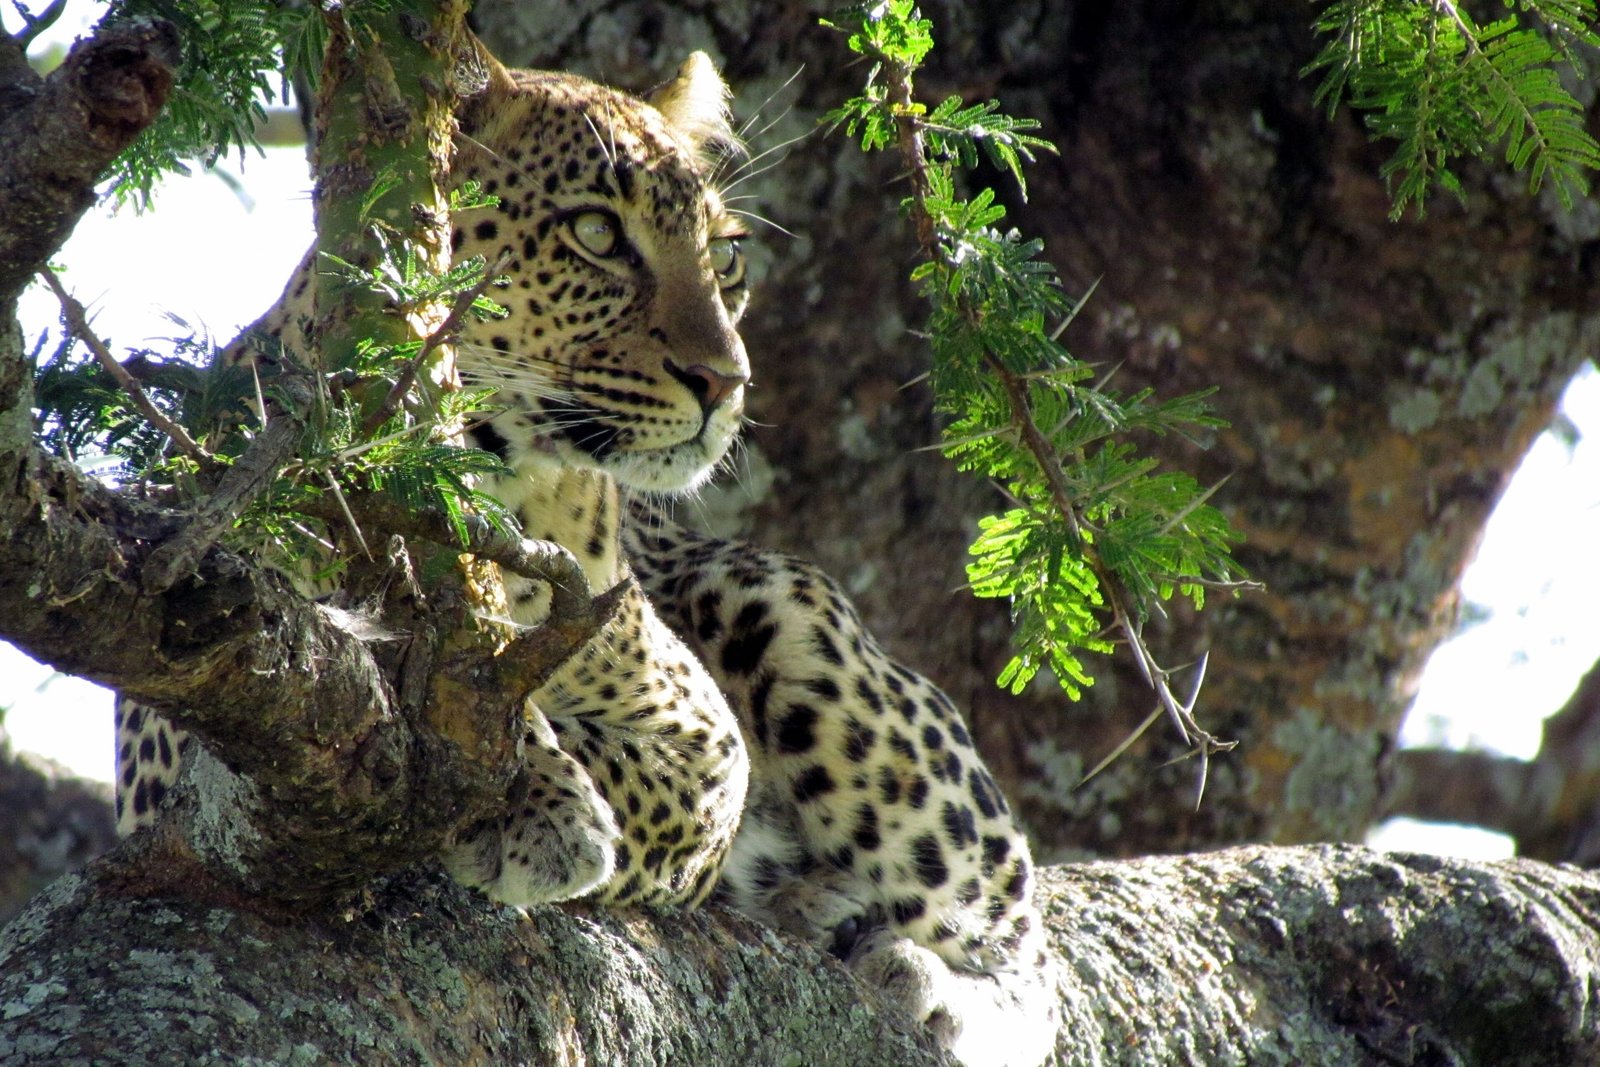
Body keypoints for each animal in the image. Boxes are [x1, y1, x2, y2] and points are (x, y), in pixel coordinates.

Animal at [113, 40, 1058, 1066]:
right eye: (597, 234)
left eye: (727, 255)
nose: (727, 380)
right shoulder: (192, 671)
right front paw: (531, 789)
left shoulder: (704, 734)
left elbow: (613, 757)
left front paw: (531, 797)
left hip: (788, 616)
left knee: (1023, 945)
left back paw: (923, 978)